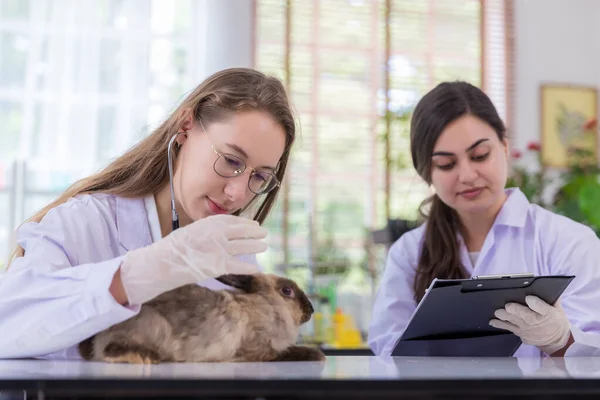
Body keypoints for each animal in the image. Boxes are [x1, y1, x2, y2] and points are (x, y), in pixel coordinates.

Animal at [79, 274, 326, 364]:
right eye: (287, 291)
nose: (311, 309)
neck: (265, 304)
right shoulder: (259, 350)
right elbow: (285, 353)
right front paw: (318, 355)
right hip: (153, 326)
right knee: (111, 350)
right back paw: (147, 358)